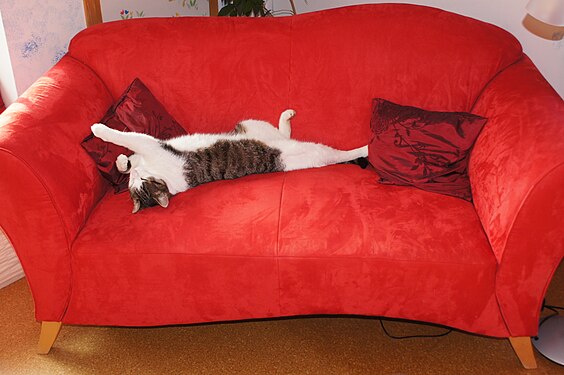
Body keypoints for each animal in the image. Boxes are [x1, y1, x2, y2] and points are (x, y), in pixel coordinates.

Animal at [90, 110, 368, 213]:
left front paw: (102, 133)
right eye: (136, 188)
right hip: (279, 138)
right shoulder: (148, 152)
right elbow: (129, 153)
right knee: (290, 136)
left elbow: (128, 140)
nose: (136, 176)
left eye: (142, 183)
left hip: (254, 125)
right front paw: (121, 160)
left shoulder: (151, 145)